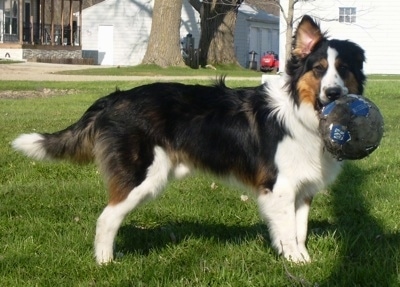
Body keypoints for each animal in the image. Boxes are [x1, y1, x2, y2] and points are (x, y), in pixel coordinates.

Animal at [11, 14, 366, 264]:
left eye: (343, 69)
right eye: (319, 69)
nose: (333, 93)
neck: (301, 112)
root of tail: (115, 98)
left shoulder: (303, 188)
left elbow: (300, 229)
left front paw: (302, 259)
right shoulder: (278, 187)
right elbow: (289, 232)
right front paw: (293, 260)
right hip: (142, 175)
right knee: (106, 218)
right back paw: (105, 263)